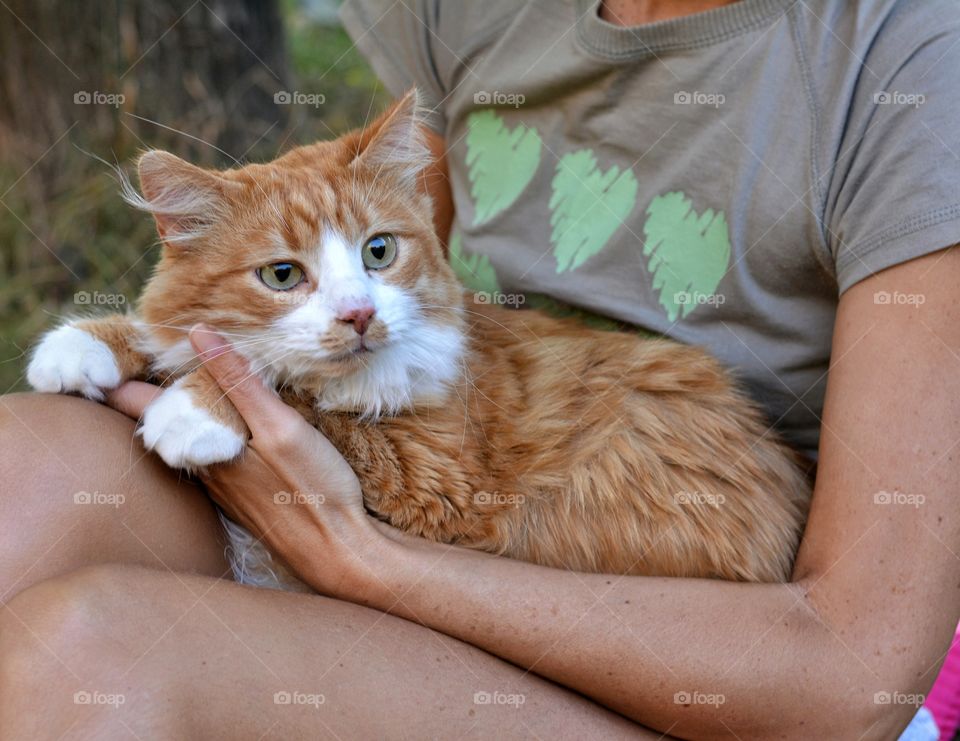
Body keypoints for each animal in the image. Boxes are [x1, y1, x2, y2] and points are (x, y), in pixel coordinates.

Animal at [26, 91, 808, 588]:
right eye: (282, 274)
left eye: (378, 252)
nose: (358, 316)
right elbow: (176, 332)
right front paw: (87, 344)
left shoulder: (436, 479)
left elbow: (296, 386)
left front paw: (197, 406)